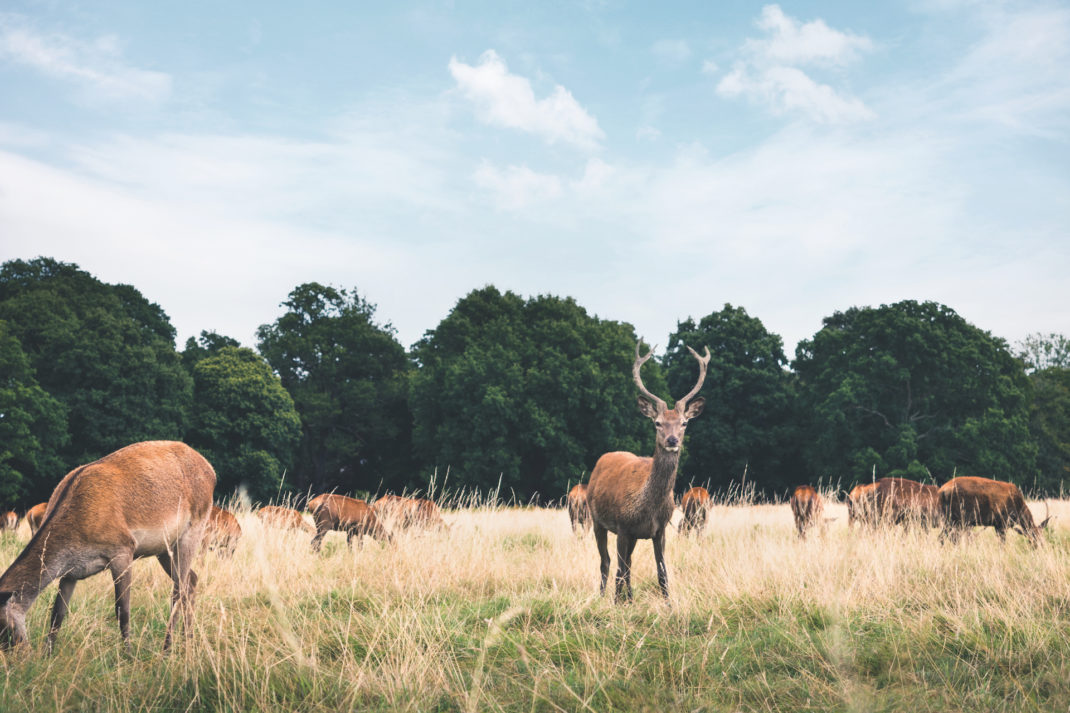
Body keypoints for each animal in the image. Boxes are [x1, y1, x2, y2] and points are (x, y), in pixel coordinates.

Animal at [0, 440, 215, 651]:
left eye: (3, 629)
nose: (19, 654)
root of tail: (211, 470)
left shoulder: (123, 549)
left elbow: (122, 610)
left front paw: (128, 655)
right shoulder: (71, 572)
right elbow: (57, 614)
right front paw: (48, 654)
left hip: (193, 530)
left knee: (178, 591)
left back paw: (167, 649)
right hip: (164, 548)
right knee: (191, 580)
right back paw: (188, 640)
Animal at [587, 341, 709, 602]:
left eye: (684, 423)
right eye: (657, 423)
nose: (672, 440)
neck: (648, 508)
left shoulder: (659, 530)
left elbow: (661, 572)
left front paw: (668, 604)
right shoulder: (623, 527)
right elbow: (619, 570)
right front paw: (615, 604)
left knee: (628, 564)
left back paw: (630, 598)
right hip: (597, 520)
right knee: (607, 562)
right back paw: (602, 597)